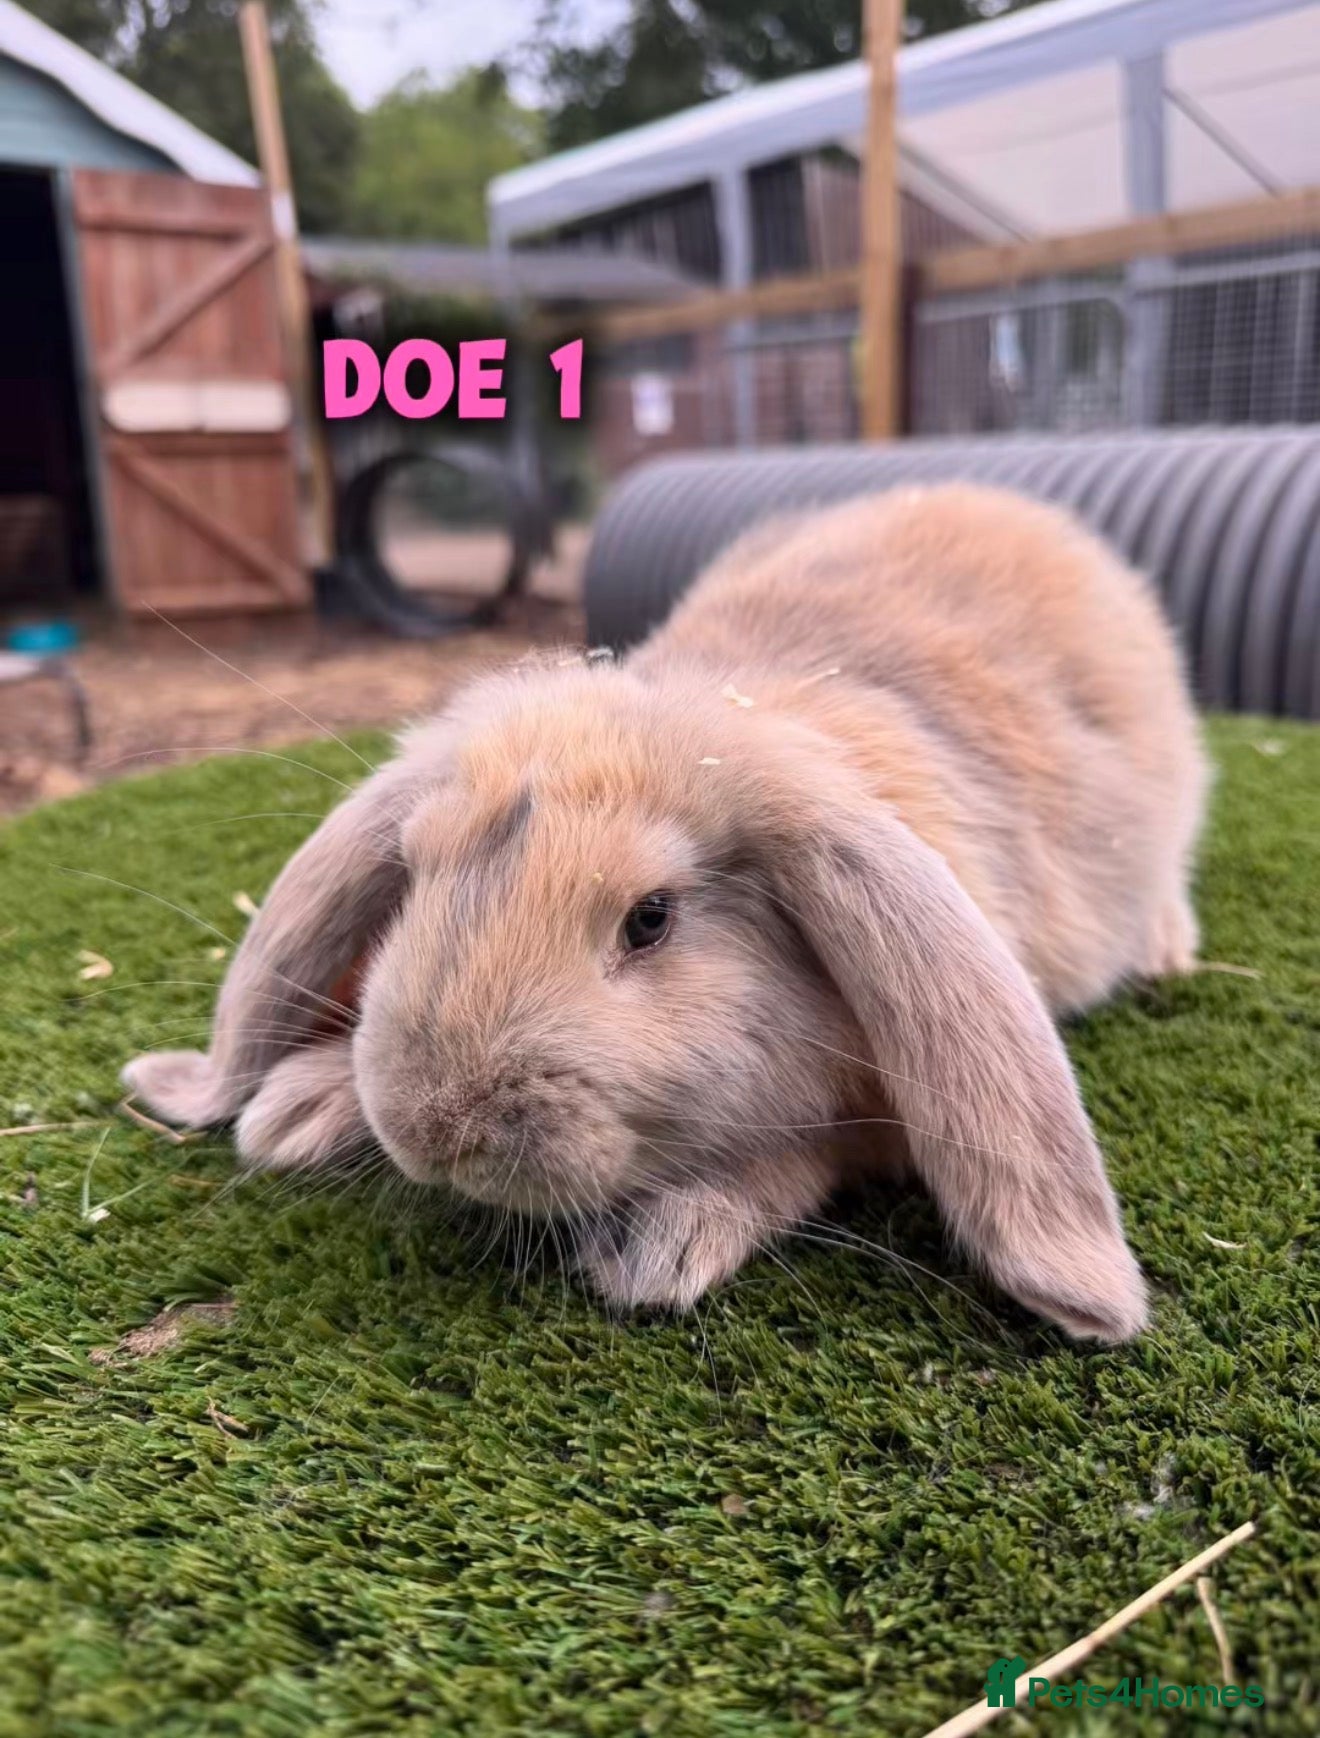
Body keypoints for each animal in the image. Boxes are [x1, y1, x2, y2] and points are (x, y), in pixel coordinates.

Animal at [124, 483, 1208, 1342]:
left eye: (650, 918)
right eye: (415, 876)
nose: (436, 1130)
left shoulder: (866, 1124)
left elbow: (805, 1160)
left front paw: (666, 1242)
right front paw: (297, 1110)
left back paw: (1166, 950)